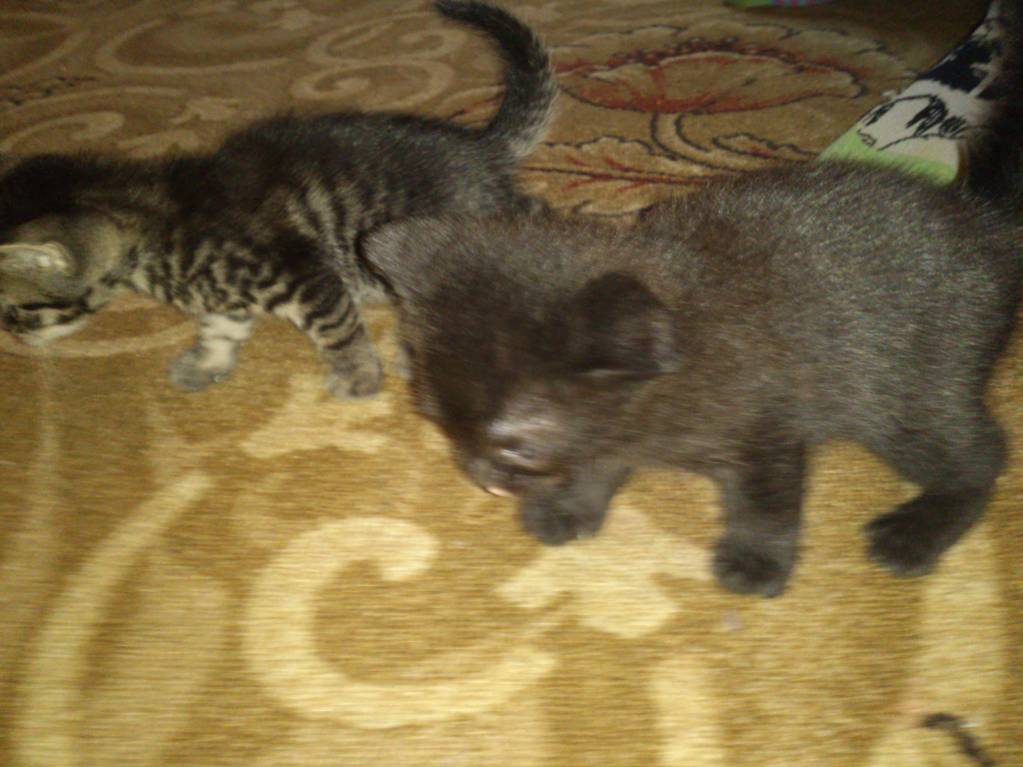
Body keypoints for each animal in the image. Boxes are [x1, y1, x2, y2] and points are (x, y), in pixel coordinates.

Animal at [0, 0, 555, 397]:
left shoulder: (299, 270)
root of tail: (481, 147)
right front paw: (207, 363)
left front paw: (357, 376)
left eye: (16, 310)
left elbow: (336, 328)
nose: (15, 338)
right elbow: (220, 329)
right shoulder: (226, 294)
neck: (150, 221)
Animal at [364, 1, 1023, 597]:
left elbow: (768, 499)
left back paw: (916, 531)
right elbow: (596, 458)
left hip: (907, 388)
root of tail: (985, 219)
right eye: (442, 424)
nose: (478, 476)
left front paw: (757, 560)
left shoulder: (770, 422)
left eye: (518, 445)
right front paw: (569, 505)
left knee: (982, 454)